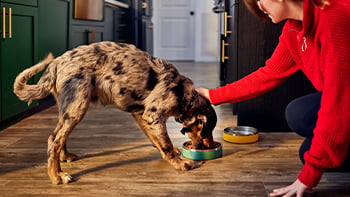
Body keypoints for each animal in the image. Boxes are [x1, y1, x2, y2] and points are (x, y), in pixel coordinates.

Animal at [13, 41, 216, 185]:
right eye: (207, 130)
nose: (208, 146)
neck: (182, 92)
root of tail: (56, 62)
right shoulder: (153, 115)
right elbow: (165, 142)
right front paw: (180, 163)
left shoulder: (141, 115)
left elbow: (156, 141)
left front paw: (170, 155)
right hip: (78, 106)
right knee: (54, 139)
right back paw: (57, 176)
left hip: (68, 107)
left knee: (59, 137)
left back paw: (65, 157)